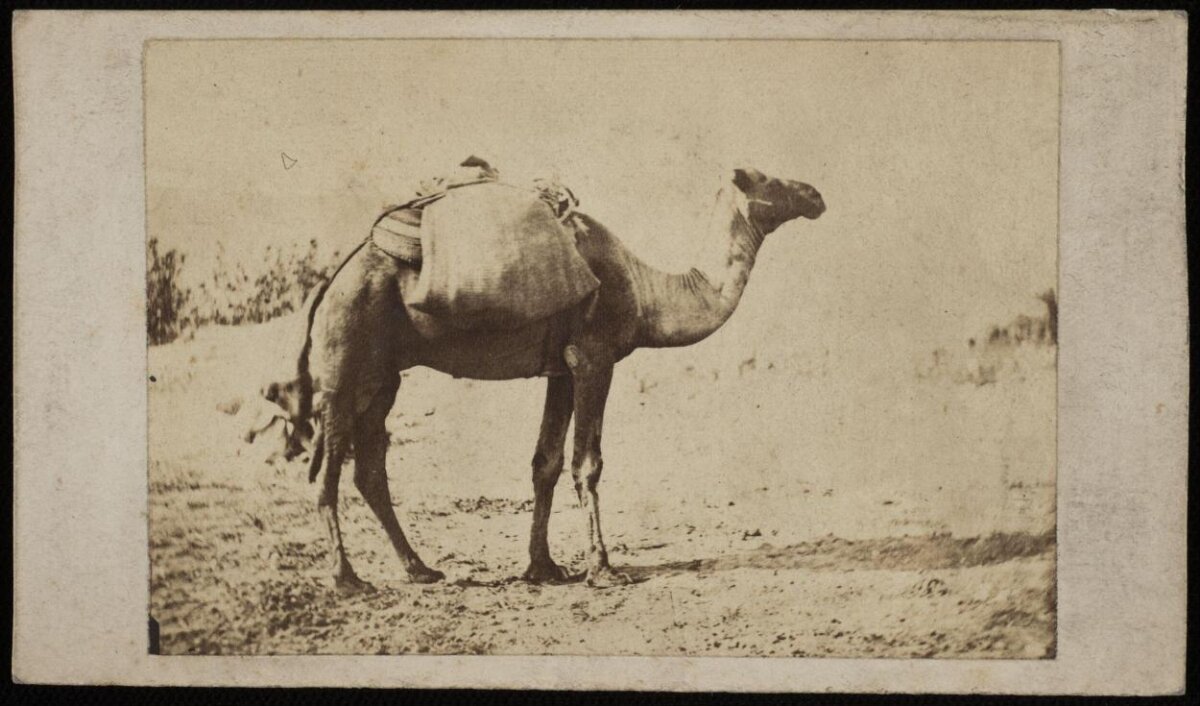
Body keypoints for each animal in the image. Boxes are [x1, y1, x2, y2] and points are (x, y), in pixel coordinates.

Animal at [283, 167, 825, 591]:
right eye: (768, 179)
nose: (816, 194)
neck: (647, 292)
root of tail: (328, 284)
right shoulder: (594, 358)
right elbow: (588, 464)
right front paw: (602, 569)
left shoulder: (561, 370)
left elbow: (545, 462)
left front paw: (542, 567)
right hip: (344, 365)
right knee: (328, 472)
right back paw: (348, 579)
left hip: (381, 378)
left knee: (369, 469)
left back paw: (421, 569)